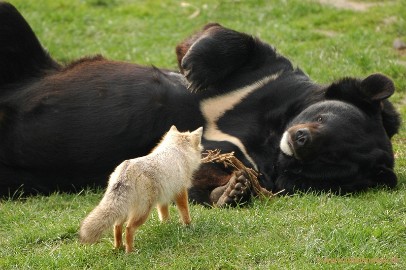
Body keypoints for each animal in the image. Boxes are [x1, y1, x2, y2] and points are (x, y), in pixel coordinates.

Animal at [0, 2, 400, 206]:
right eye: (326, 115)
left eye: (330, 162)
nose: (301, 141)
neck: (271, 134)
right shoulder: (267, 79)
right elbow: (226, 41)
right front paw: (195, 64)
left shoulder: (249, 161)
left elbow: (194, 178)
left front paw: (232, 190)